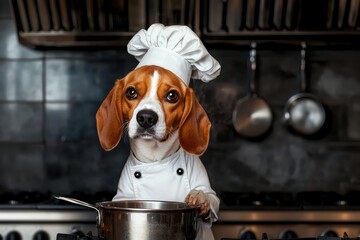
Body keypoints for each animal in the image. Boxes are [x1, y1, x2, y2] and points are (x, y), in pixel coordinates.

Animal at [96, 65, 219, 238]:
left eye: (172, 96)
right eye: (131, 92)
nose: (146, 118)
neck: (156, 159)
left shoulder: (207, 189)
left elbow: (210, 197)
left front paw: (200, 199)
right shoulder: (122, 196)